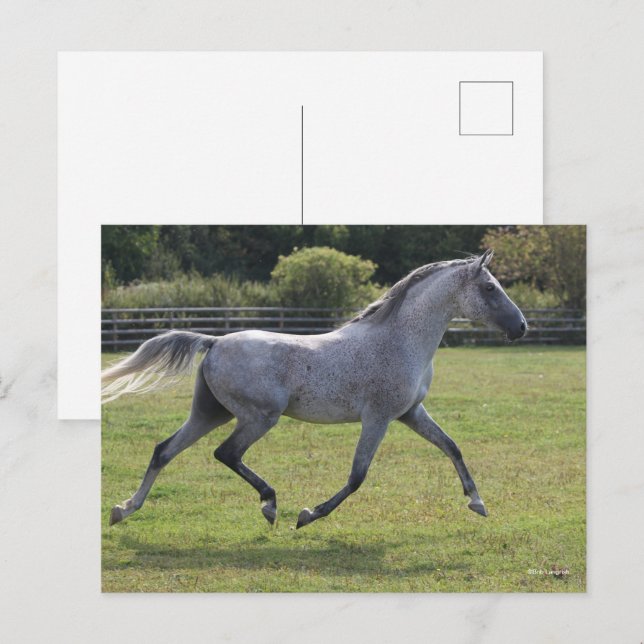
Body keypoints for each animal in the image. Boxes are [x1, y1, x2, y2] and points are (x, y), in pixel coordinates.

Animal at [103, 250, 526, 528]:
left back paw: (123, 509)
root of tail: (215, 341)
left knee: (164, 450)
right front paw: (308, 515)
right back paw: (270, 505)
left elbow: (452, 447)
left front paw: (477, 503)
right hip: (258, 417)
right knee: (225, 453)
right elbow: (357, 476)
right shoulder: (378, 418)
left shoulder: (410, 413)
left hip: (210, 413)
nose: (521, 327)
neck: (400, 340)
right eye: (490, 288)